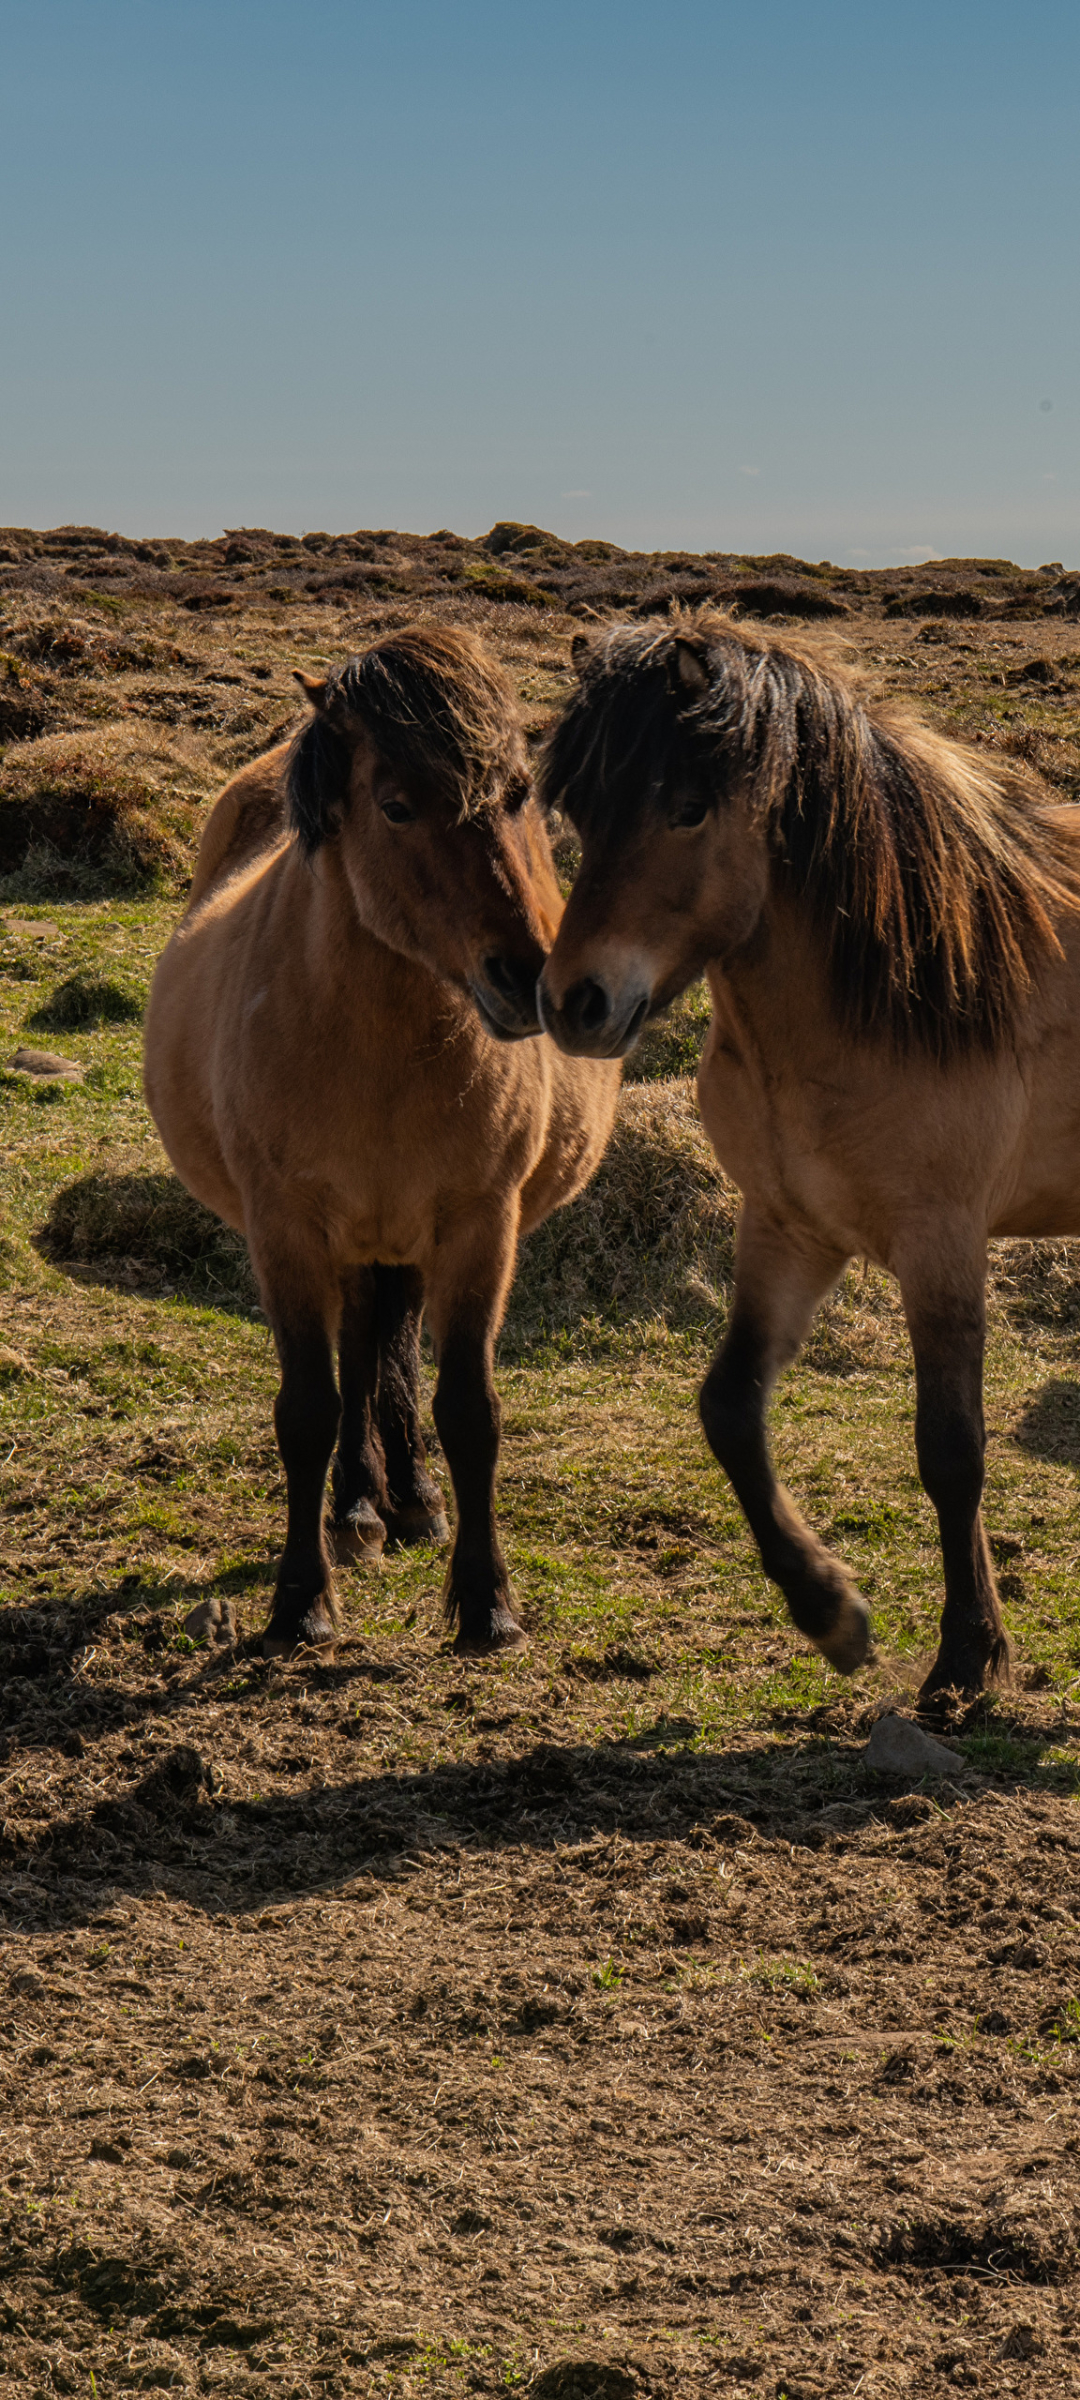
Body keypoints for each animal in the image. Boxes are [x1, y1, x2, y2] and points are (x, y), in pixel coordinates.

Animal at [144, 628, 619, 1660]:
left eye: (520, 791)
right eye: (396, 804)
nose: (528, 978)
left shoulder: (480, 1226)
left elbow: (469, 1411)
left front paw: (486, 1602)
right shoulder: (285, 1229)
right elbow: (308, 1410)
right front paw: (299, 1603)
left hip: (397, 1239)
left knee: (381, 1343)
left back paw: (406, 1499)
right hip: (353, 1238)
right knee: (359, 1355)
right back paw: (359, 1506)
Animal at [540, 614, 1080, 1708]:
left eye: (686, 807)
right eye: (576, 808)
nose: (575, 1003)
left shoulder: (941, 1243)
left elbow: (951, 1449)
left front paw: (966, 1659)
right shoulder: (787, 1225)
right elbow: (729, 1408)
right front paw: (829, 1609)